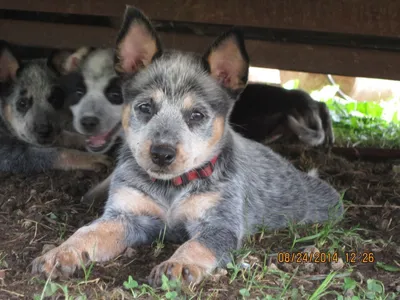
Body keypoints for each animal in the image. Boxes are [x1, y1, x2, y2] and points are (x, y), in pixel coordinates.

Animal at [0, 42, 111, 173]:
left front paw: (92, 140)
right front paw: (92, 159)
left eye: (55, 99)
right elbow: (56, 152)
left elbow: (67, 136)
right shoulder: (7, 154)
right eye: (22, 103)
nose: (44, 131)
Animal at [32, 6, 344, 286]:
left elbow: (196, 246)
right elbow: (87, 233)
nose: (161, 153)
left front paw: (179, 265)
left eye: (197, 115)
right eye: (145, 107)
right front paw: (61, 253)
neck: (172, 188)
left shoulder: (219, 224)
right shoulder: (125, 215)